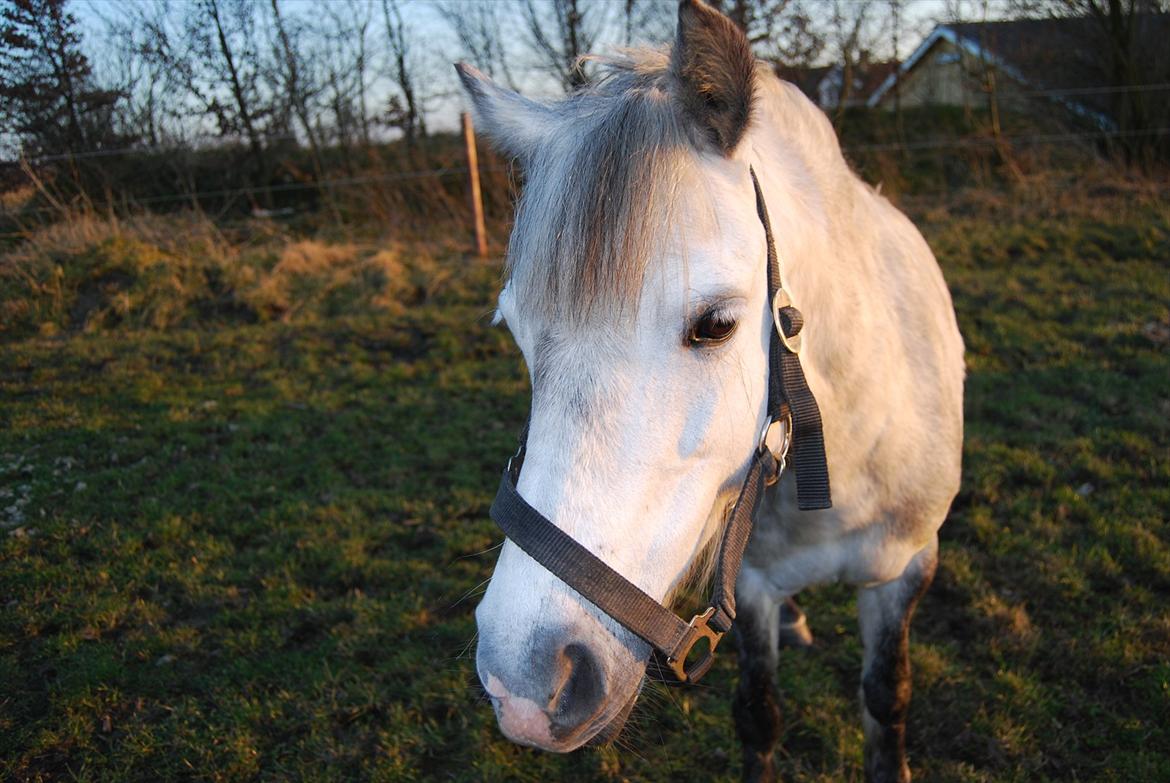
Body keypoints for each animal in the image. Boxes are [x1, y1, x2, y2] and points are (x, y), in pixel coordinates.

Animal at [456, 3, 959, 777]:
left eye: (715, 324)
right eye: (515, 330)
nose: (527, 683)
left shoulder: (904, 569)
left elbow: (886, 700)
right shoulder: (748, 585)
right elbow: (760, 714)